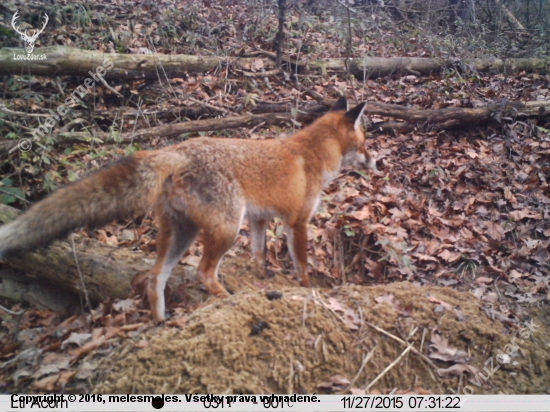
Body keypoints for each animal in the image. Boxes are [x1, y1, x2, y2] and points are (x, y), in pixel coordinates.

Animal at [0, 96, 376, 322]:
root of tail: (175, 149)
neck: (314, 155)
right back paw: (224, 298)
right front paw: (307, 287)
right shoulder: (297, 222)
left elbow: (258, 255)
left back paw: (160, 321)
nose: (377, 161)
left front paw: (261, 278)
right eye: (366, 144)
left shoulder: (258, 218)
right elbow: (303, 265)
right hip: (225, 227)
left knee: (156, 277)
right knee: (204, 272)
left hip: (182, 232)